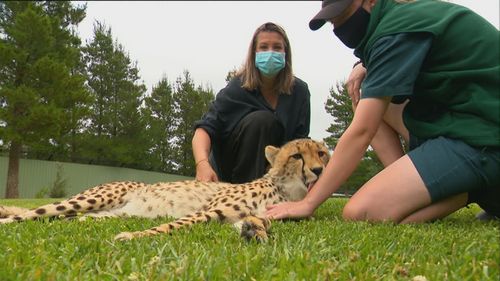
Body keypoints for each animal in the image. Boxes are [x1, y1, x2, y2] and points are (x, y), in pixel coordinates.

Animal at [0, 138, 330, 241]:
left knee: (60, 219)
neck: (287, 191)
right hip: (89, 200)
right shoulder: (207, 211)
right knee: (27, 215)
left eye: (322, 153)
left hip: (99, 214)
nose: (319, 171)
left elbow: (260, 221)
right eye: (297, 155)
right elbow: (170, 226)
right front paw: (132, 237)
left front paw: (255, 230)